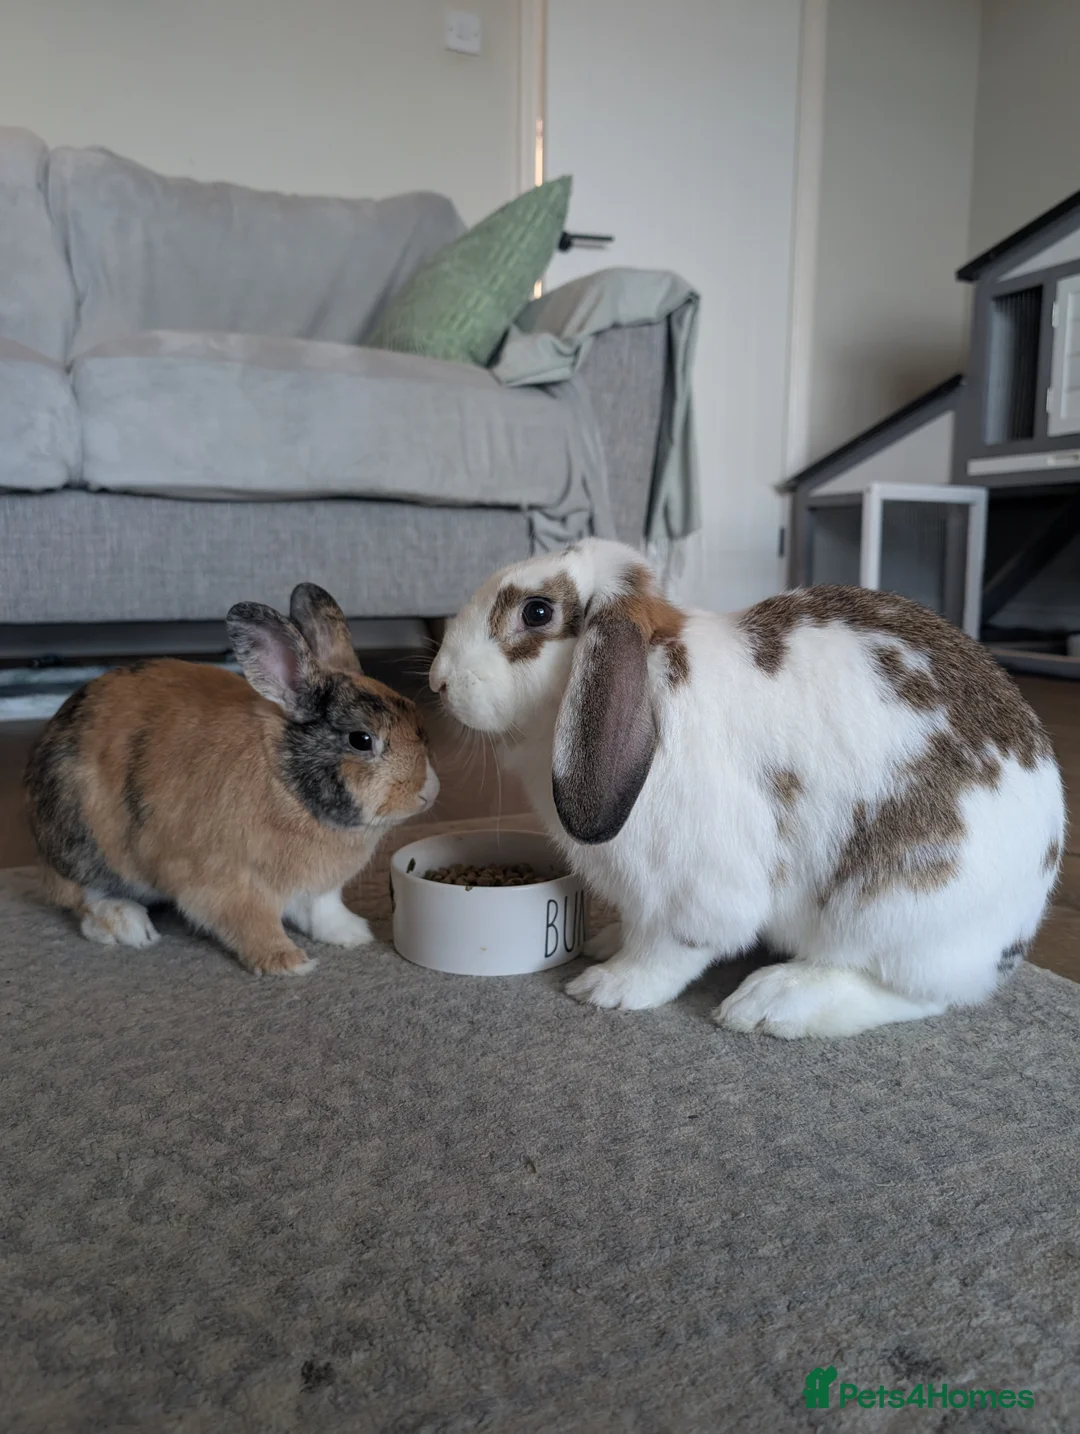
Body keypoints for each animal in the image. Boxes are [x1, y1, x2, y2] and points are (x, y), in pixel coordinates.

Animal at [25, 583, 439, 975]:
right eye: (361, 740)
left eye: (417, 719)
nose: (427, 792)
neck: (286, 785)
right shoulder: (226, 885)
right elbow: (253, 925)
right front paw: (288, 963)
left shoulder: (318, 889)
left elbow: (323, 912)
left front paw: (353, 934)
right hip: (86, 844)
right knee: (80, 897)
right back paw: (129, 927)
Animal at [428, 538, 1065, 1038]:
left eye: (536, 612)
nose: (438, 682)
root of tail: (1014, 933)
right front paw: (606, 944)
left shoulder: (692, 885)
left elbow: (670, 949)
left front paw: (608, 986)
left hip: (892, 906)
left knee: (913, 991)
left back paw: (771, 1003)